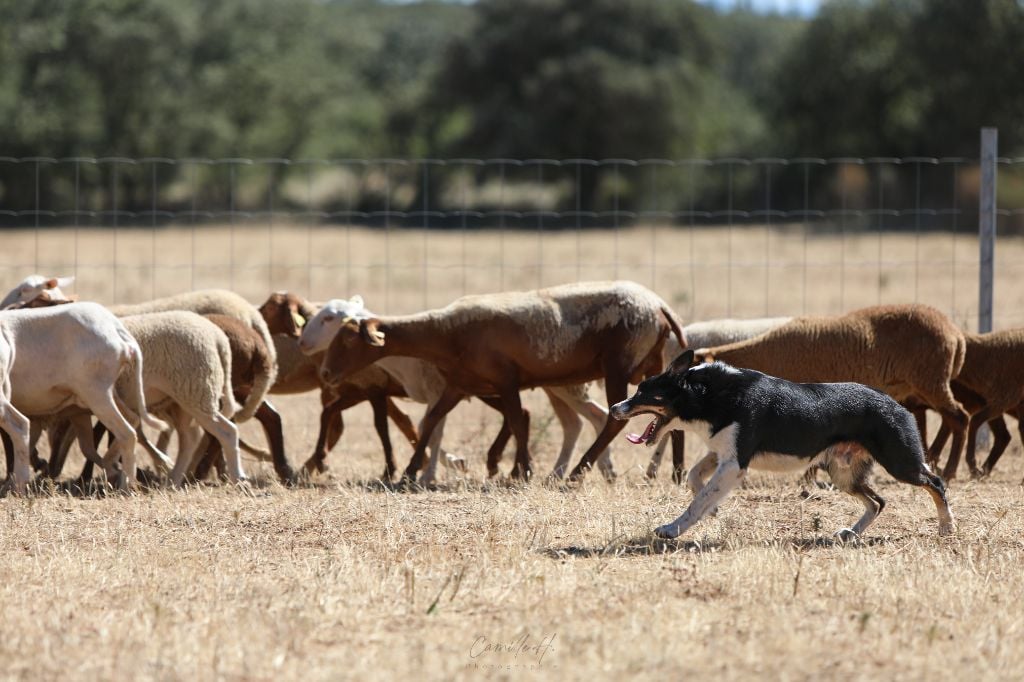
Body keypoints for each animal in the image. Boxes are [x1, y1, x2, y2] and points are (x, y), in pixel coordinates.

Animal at [610, 350, 954, 536]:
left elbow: (697, 501)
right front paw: (713, 510)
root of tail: (898, 405)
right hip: (843, 473)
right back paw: (850, 533)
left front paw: (672, 529)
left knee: (936, 483)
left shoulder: (735, 464)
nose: (615, 408)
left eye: (643, 392)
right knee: (878, 502)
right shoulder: (722, 453)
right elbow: (696, 480)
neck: (708, 394)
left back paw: (947, 527)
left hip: (900, 462)